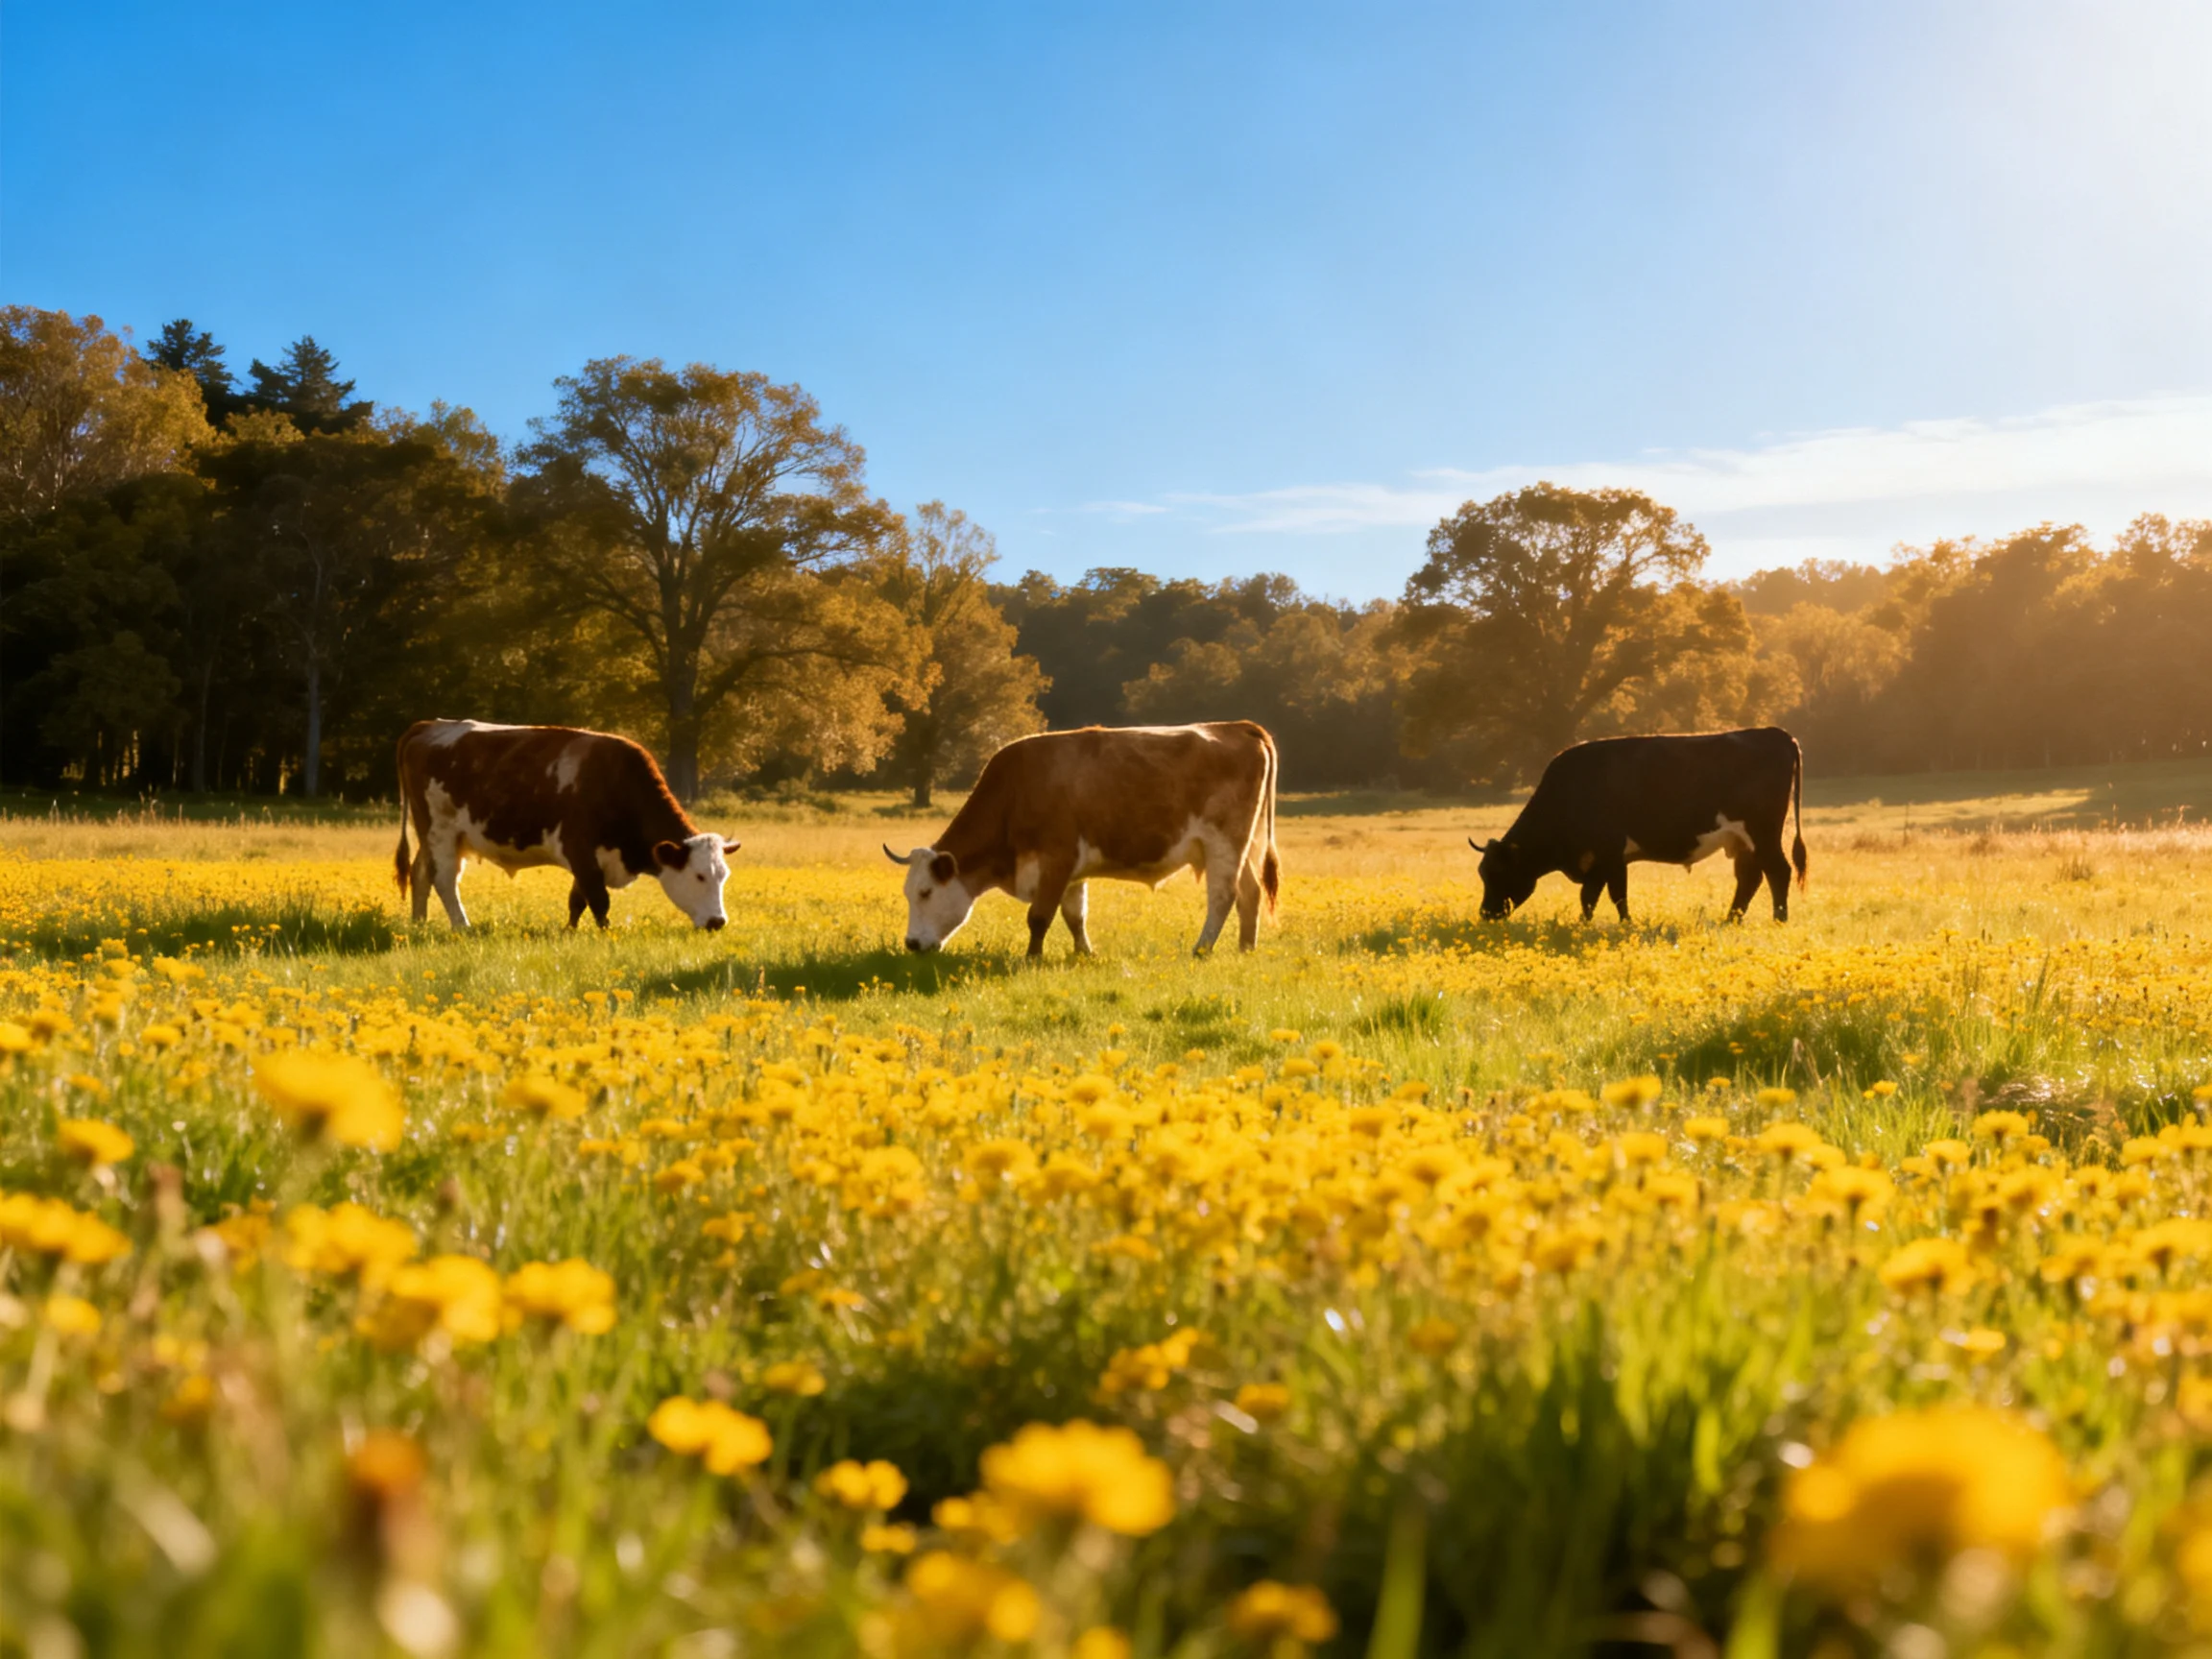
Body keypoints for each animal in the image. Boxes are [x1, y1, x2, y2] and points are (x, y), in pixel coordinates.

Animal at [393, 719, 739, 931]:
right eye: (699, 875)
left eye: (723, 876)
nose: (718, 921)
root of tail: (431, 726)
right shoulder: (581, 850)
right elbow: (598, 900)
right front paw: (607, 935)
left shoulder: (587, 860)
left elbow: (577, 901)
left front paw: (569, 932)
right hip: (440, 832)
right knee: (444, 880)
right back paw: (462, 926)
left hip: (438, 837)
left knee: (420, 873)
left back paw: (419, 923)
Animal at [884, 722, 1281, 959]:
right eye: (907, 893)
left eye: (925, 892)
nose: (911, 943)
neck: (1016, 791)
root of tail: (1234, 727)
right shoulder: (1071, 870)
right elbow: (1075, 915)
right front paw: (1084, 954)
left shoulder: (1056, 858)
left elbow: (1039, 916)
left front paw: (1032, 959)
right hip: (1248, 845)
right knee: (1250, 892)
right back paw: (1246, 948)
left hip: (1223, 843)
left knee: (1224, 895)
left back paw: (1202, 949)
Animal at [1470, 727, 1807, 924]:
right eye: (1483, 873)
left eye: (1499, 872)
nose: (1485, 913)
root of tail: (1772, 732)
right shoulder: (1607, 862)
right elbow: (1602, 896)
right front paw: (1599, 925)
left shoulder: (1608, 855)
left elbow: (1602, 896)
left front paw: (1610, 925)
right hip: (1742, 841)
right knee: (1750, 878)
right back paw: (1731, 920)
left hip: (1763, 834)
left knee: (1779, 872)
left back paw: (1779, 920)